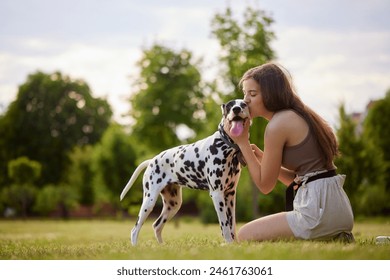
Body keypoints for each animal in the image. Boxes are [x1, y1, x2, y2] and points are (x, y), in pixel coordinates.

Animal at [119, 99, 251, 245]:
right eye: (229, 105)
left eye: (243, 104)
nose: (236, 109)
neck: (225, 146)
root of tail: (151, 160)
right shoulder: (217, 194)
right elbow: (225, 225)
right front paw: (228, 243)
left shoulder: (230, 195)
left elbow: (232, 224)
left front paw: (235, 244)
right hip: (149, 201)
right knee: (135, 229)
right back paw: (135, 246)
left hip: (173, 204)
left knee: (156, 225)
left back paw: (161, 246)